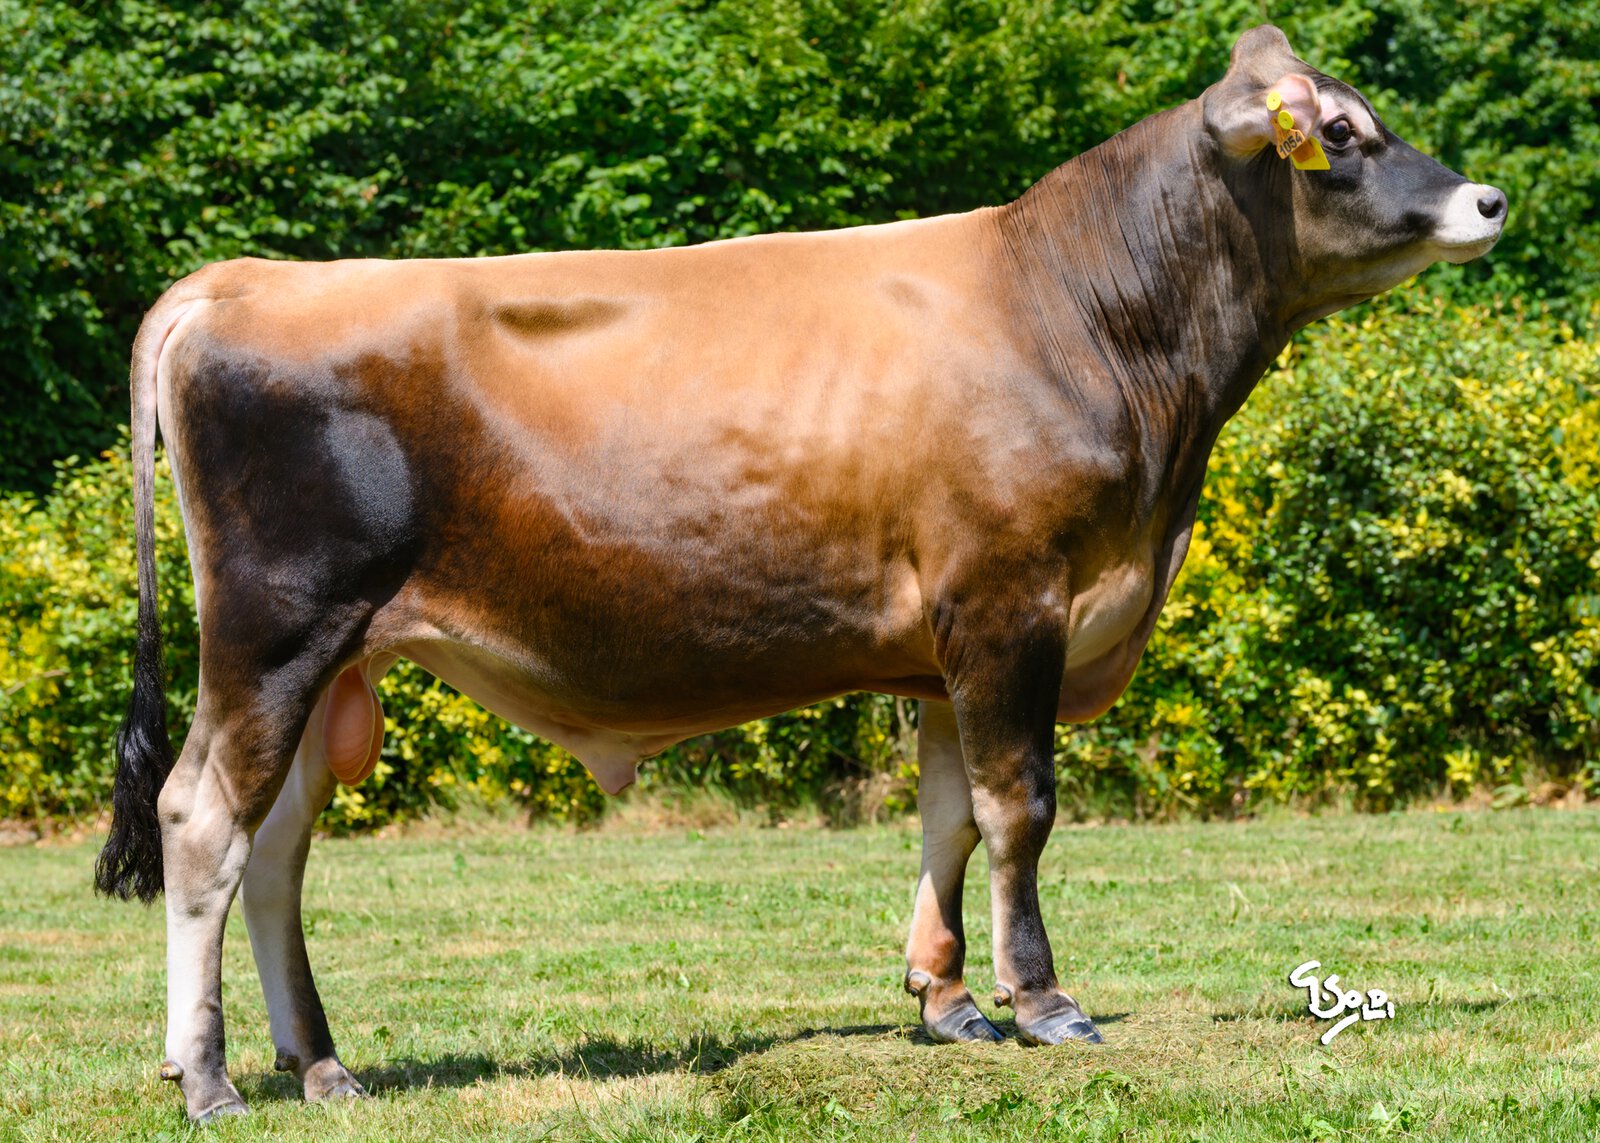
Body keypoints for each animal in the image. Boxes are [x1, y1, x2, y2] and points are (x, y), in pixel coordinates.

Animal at [94, 25, 1505, 1121]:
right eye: (1337, 131)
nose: (1487, 200)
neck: (1079, 316)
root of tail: (241, 281)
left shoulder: (945, 646)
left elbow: (946, 815)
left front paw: (945, 1000)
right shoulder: (1011, 605)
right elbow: (1020, 807)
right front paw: (1042, 1001)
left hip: (329, 661)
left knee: (277, 846)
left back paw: (321, 1067)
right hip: (275, 631)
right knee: (204, 822)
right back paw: (207, 1078)